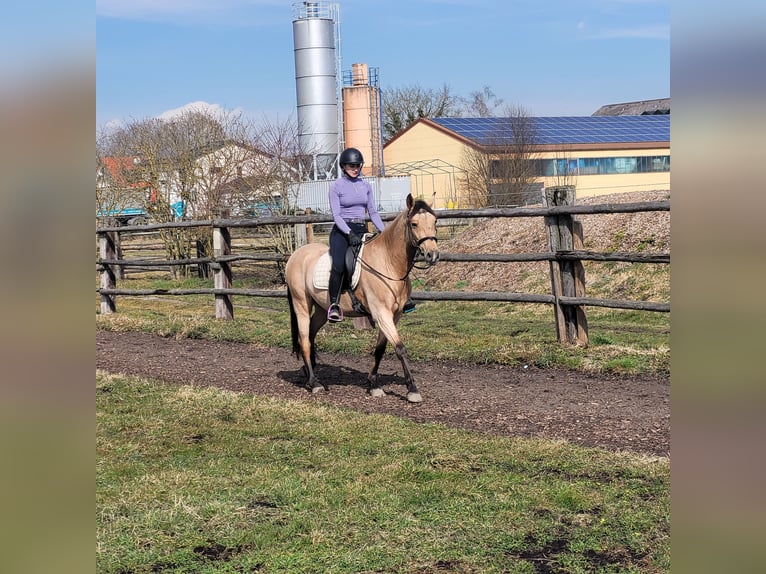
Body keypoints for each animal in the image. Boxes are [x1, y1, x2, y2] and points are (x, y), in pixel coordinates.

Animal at [284, 196, 440, 402]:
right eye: (414, 224)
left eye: (435, 222)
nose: (433, 255)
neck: (388, 262)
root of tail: (295, 255)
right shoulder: (381, 313)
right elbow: (400, 348)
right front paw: (412, 389)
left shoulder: (394, 315)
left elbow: (380, 349)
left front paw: (373, 384)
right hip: (301, 303)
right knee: (304, 340)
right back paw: (314, 383)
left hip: (321, 310)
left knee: (310, 336)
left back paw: (309, 371)